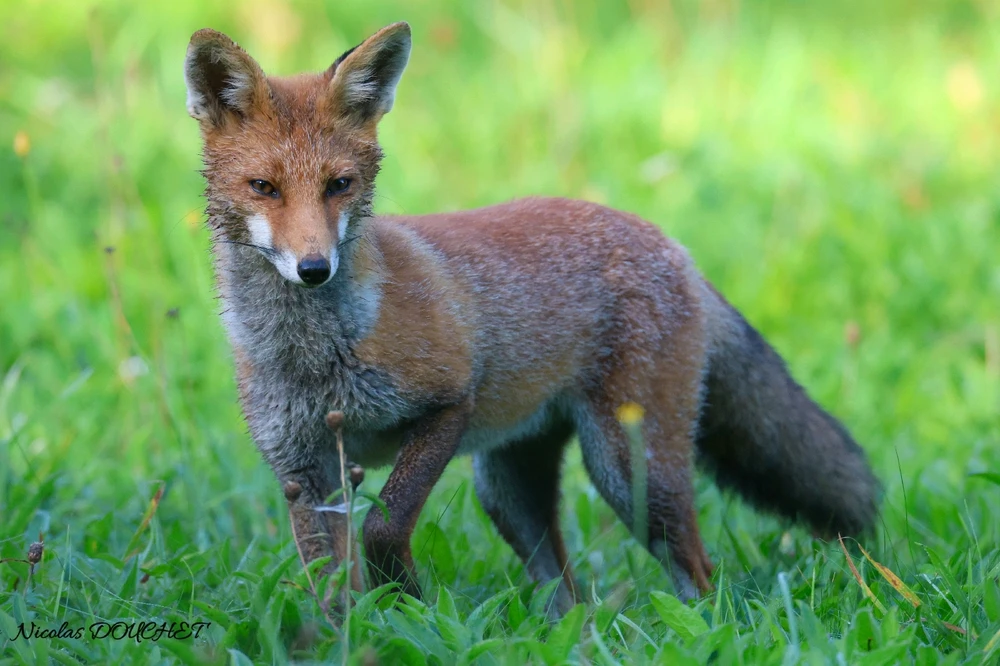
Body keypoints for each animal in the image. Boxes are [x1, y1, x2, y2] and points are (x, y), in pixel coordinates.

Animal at [184, 21, 880, 614]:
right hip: (510, 489)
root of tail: (667, 241)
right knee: (566, 597)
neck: (312, 354)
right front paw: (363, 630)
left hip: (629, 472)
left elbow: (384, 525)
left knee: (698, 574)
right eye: (264, 187)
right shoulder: (303, 470)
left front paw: (405, 601)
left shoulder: (447, 404)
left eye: (339, 185)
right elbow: (328, 589)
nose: (314, 268)